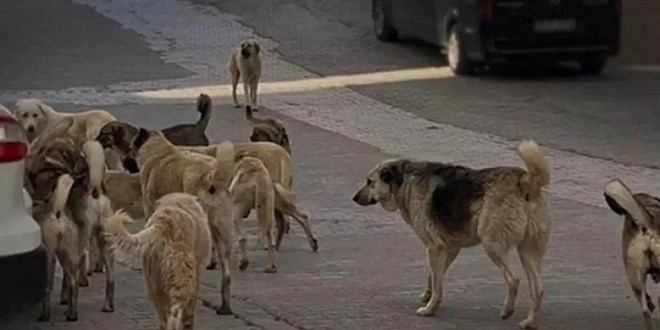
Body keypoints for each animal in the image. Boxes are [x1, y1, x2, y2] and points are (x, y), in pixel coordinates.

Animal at [34, 175, 81, 322]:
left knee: (47, 286)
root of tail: (57, 213)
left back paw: (45, 315)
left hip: (49, 256)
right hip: (68, 257)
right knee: (73, 284)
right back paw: (72, 314)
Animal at [130, 128, 236, 314]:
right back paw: (224, 307)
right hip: (223, 233)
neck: (158, 151)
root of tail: (210, 177)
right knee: (226, 275)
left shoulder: (150, 211)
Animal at [354, 140, 548, 328]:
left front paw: (429, 309)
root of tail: (524, 181)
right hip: (528, 253)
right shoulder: (449, 249)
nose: (354, 198)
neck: (404, 180)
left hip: (492, 245)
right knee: (538, 289)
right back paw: (528, 322)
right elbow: (434, 277)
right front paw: (428, 296)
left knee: (514, 279)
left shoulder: (434, 248)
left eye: (369, 181)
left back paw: (507, 311)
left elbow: (437, 282)